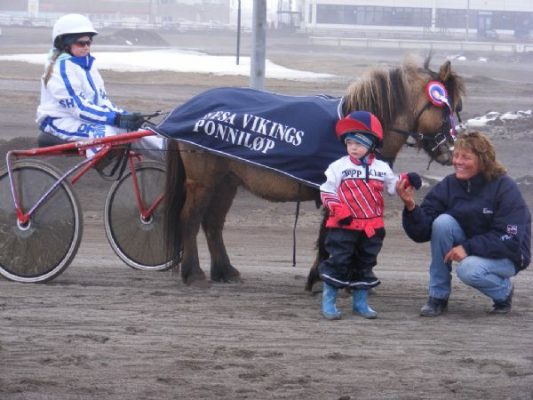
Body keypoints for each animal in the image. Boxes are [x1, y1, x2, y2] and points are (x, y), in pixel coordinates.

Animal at [161, 56, 465, 287]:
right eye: (446, 107)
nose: (450, 150)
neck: (358, 131)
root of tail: (185, 108)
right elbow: (331, 234)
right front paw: (322, 277)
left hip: (227, 182)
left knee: (212, 223)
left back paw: (225, 271)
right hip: (203, 181)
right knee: (190, 219)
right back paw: (193, 273)